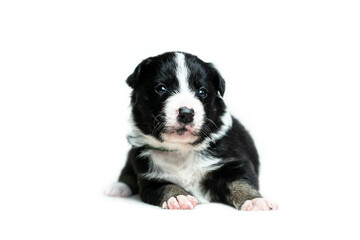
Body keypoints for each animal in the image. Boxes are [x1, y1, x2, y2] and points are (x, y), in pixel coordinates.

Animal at [105, 52, 278, 210]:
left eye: (202, 92)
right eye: (161, 88)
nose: (186, 113)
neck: (181, 149)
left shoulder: (232, 161)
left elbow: (241, 182)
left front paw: (255, 201)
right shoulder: (149, 178)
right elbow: (165, 186)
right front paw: (178, 196)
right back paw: (118, 187)